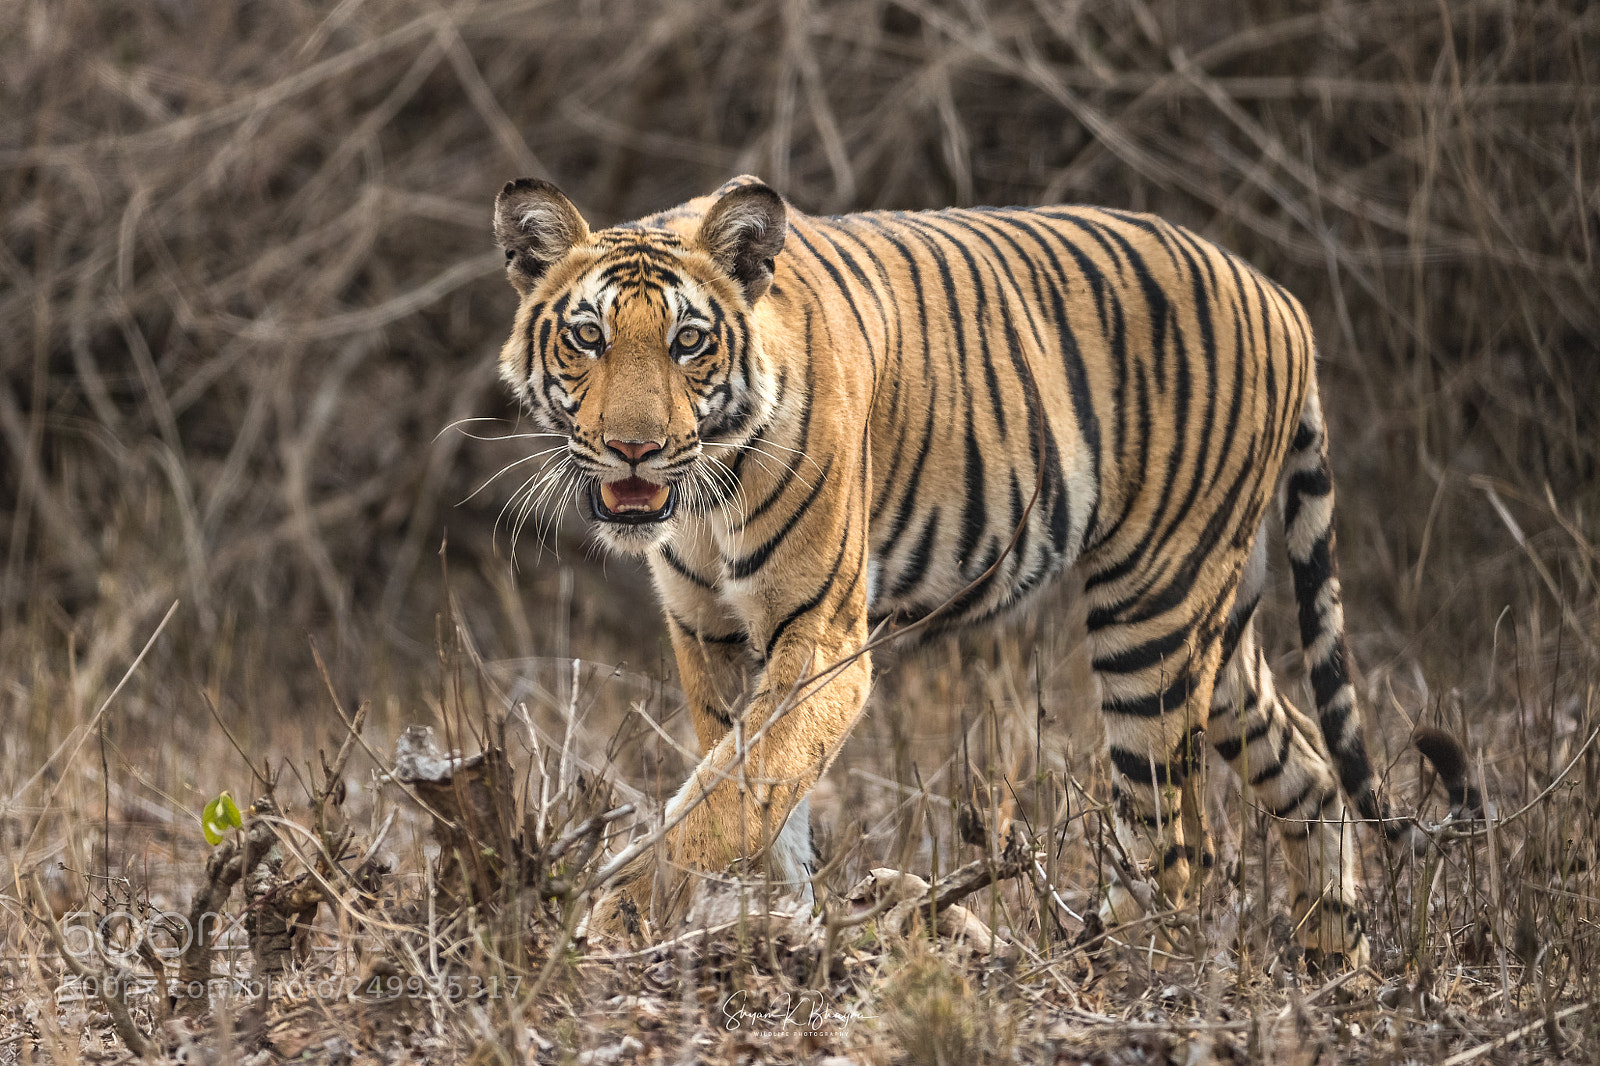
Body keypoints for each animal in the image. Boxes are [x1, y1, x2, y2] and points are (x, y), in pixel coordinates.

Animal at [490, 174, 1473, 965]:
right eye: (587, 337)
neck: (704, 500)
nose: (634, 449)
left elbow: (729, 793)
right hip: (1219, 626)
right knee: (1309, 774)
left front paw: (631, 907)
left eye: (690, 343)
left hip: (1151, 611)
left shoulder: (822, 637)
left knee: (1172, 846)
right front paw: (770, 920)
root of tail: (1281, 297)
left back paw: (1090, 963)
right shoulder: (712, 636)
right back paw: (1334, 976)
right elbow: (759, 792)